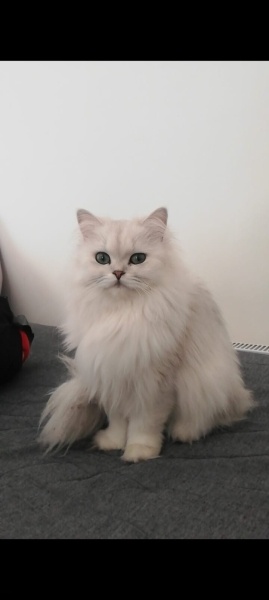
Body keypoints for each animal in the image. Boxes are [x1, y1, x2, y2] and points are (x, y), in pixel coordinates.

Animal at [38, 209, 253, 462]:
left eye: (138, 259)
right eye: (102, 258)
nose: (118, 273)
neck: (122, 314)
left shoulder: (154, 384)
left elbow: (144, 425)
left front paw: (139, 452)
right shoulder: (112, 375)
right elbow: (118, 421)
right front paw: (113, 443)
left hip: (210, 383)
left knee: (211, 418)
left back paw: (184, 432)